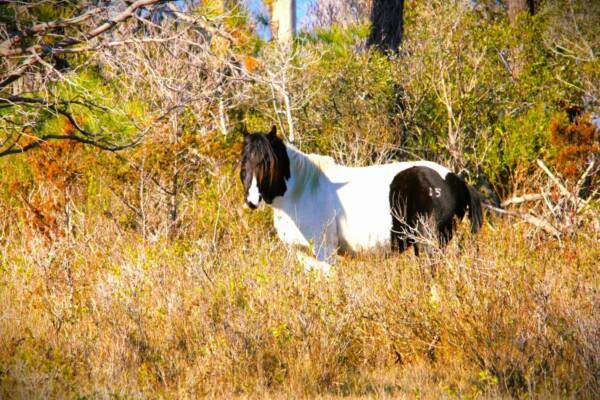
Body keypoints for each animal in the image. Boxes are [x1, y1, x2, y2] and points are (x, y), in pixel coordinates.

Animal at [239, 126, 482, 274]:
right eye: (244, 161)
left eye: (266, 162)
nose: (252, 199)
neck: (303, 189)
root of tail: (455, 180)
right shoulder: (300, 253)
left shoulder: (324, 253)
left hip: (430, 243)